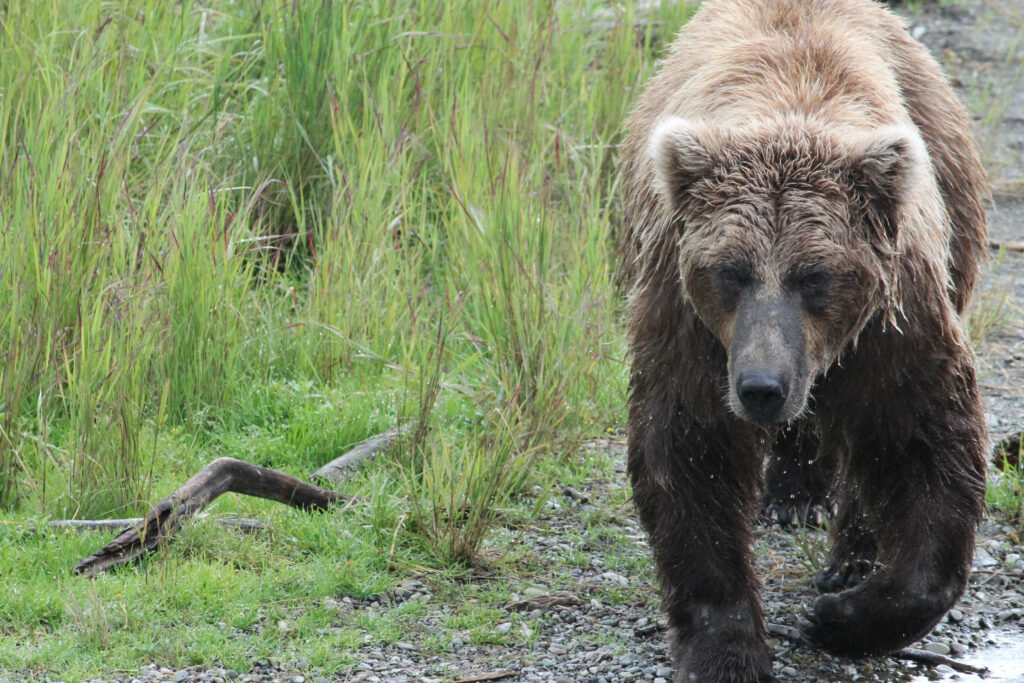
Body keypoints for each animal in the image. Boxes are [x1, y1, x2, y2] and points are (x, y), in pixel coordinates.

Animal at [618, 1, 990, 681]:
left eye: (814, 275)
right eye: (731, 271)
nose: (762, 387)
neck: (789, 107)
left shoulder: (895, 319)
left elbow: (925, 440)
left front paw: (842, 617)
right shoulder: (689, 325)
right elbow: (689, 450)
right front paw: (727, 648)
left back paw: (846, 551)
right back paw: (792, 495)